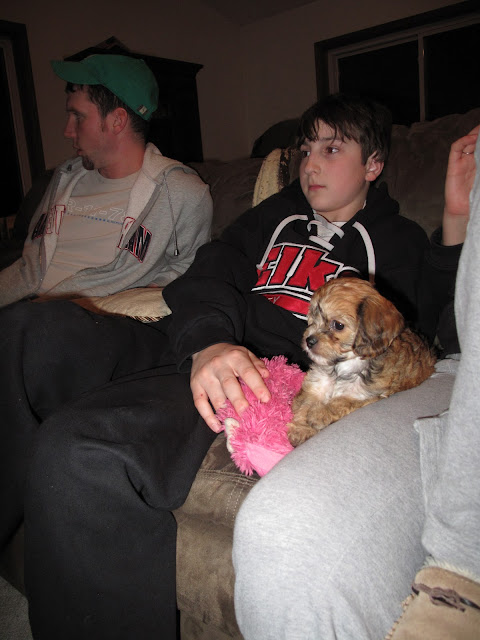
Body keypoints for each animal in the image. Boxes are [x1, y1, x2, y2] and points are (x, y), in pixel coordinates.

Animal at [287, 277, 437, 447]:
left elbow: (342, 402)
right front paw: (301, 429)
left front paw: (318, 414)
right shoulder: (317, 384)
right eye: (313, 319)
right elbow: (307, 402)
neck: (343, 366)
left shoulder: (367, 396)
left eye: (338, 325)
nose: (309, 340)